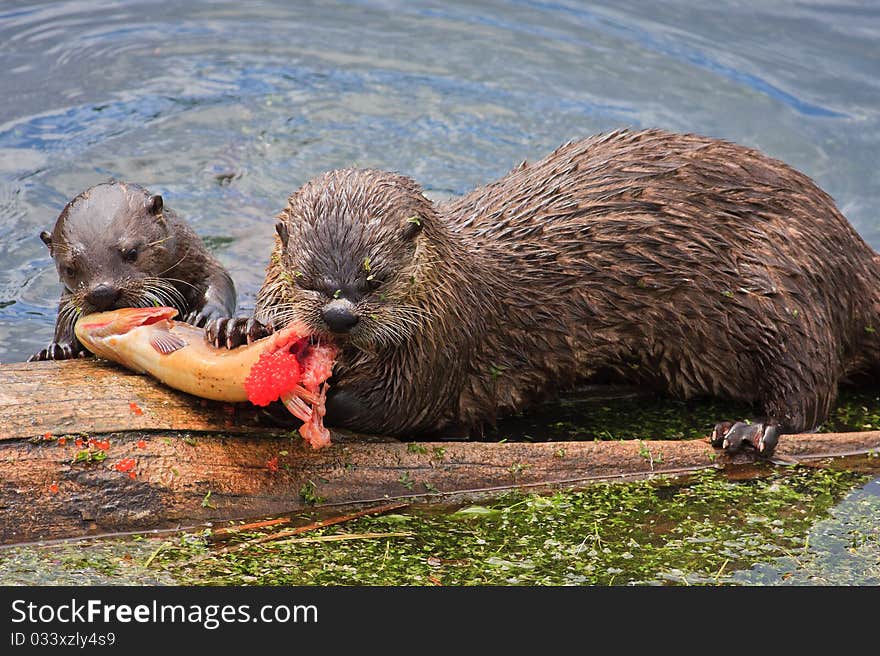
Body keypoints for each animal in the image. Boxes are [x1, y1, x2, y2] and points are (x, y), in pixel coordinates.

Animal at [31, 182, 237, 362]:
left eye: (132, 252)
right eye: (69, 269)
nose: (102, 292)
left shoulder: (196, 259)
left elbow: (219, 279)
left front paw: (205, 317)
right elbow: (65, 317)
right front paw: (58, 350)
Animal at [206, 129, 880, 456]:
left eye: (376, 278)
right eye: (309, 278)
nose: (340, 316)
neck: (457, 286)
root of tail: (854, 254)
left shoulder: (441, 347)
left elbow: (399, 409)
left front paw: (308, 399)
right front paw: (241, 328)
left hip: (781, 285)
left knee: (808, 389)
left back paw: (750, 431)